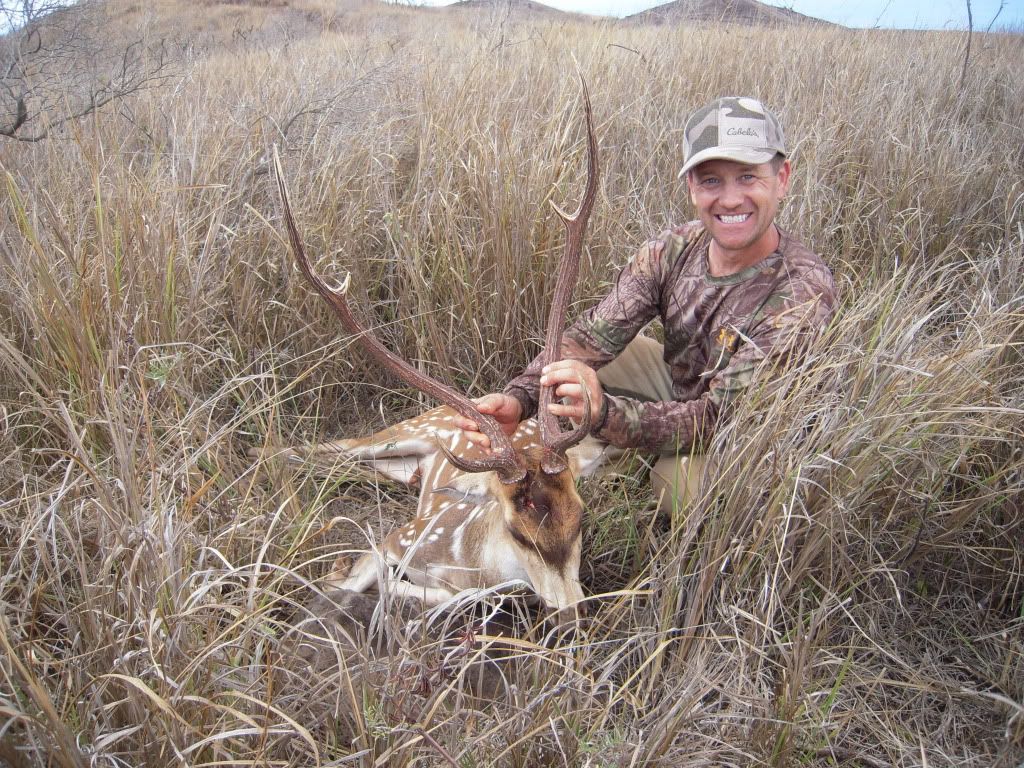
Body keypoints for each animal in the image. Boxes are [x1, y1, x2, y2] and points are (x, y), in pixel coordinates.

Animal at [266, 81, 607, 617]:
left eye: (581, 517)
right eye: (517, 532)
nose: (572, 615)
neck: (475, 562)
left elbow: (458, 597)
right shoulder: (400, 537)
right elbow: (351, 578)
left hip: (399, 466)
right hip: (401, 431)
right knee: (310, 449)